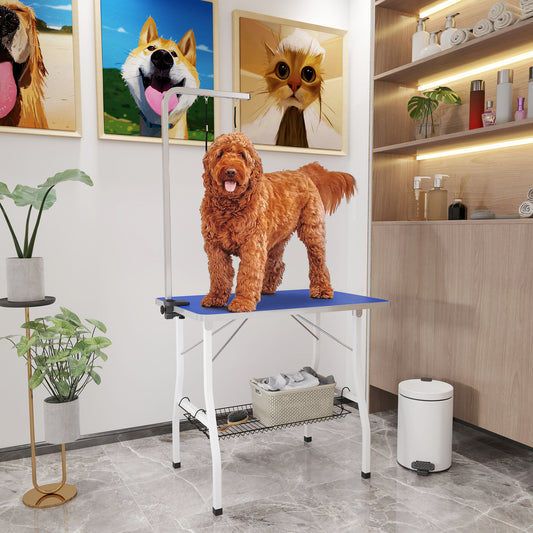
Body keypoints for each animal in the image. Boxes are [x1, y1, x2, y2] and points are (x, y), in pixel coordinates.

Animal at [202, 132, 356, 312]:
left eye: (242, 155)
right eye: (220, 154)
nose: (231, 171)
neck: (231, 207)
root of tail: (302, 172)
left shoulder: (252, 246)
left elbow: (248, 274)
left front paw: (243, 302)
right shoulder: (215, 247)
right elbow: (219, 274)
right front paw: (215, 298)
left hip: (312, 231)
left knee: (318, 261)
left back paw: (322, 289)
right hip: (277, 237)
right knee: (277, 263)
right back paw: (267, 287)